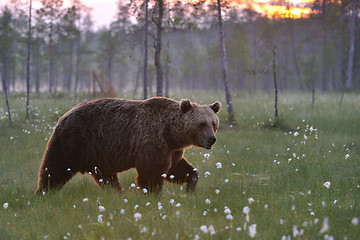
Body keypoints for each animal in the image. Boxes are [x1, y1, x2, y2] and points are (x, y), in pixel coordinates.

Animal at [35, 96, 221, 194]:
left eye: (213, 123)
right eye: (201, 124)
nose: (212, 139)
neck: (170, 132)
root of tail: (64, 115)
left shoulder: (172, 150)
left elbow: (175, 169)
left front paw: (190, 185)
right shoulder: (151, 139)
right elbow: (152, 171)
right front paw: (153, 193)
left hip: (99, 153)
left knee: (106, 177)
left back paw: (116, 192)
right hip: (74, 141)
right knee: (55, 167)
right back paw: (43, 191)